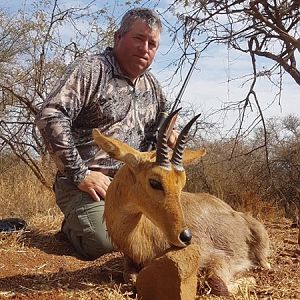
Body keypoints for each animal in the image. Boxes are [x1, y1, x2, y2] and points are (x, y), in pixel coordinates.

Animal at [92, 109, 270, 296]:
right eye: (154, 181)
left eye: (182, 182)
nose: (185, 236)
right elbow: (131, 278)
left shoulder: (220, 257)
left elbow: (217, 283)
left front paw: (250, 278)